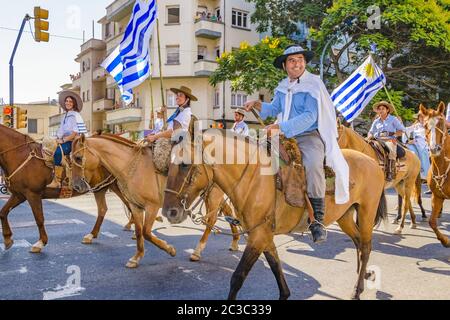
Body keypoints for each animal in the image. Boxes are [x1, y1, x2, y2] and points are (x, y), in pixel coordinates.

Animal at [0, 124, 134, 252]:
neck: (20, 155)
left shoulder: (33, 194)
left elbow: (39, 218)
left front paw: (41, 242)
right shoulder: (19, 195)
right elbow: (3, 212)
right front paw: (7, 239)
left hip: (115, 185)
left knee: (129, 203)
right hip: (99, 188)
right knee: (102, 209)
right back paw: (91, 235)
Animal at [70, 134, 239, 266]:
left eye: (78, 157)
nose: (76, 185)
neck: (133, 167)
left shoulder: (152, 206)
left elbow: (146, 232)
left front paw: (169, 249)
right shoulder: (135, 206)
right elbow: (139, 231)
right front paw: (137, 257)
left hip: (213, 194)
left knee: (212, 218)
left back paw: (198, 251)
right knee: (227, 212)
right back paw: (235, 241)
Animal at [162, 130, 386, 300]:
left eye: (184, 164)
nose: (169, 212)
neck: (254, 178)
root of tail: (372, 161)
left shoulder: (257, 237)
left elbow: (237, 277)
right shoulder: (264, 236)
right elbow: (277, 270)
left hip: (366, 212)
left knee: (366, 246)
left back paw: (357, 290)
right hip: (345, 216)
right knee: (358, 242)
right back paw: (363, 276)